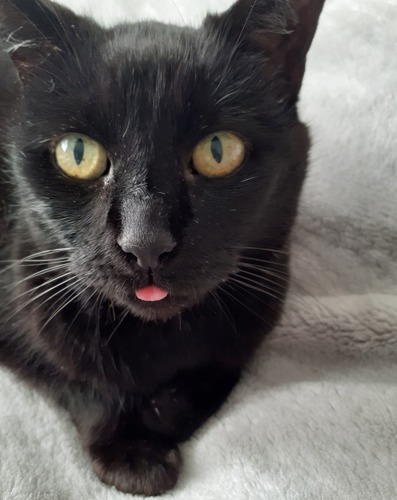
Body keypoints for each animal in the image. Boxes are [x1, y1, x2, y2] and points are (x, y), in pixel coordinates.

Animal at [0, 0, 322, 492]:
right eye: (77, 153)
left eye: (218, 150)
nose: (145, 241)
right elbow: (79, 377)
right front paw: (134, 457)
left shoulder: (262, 300)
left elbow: (219, 366)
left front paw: (163, 412)